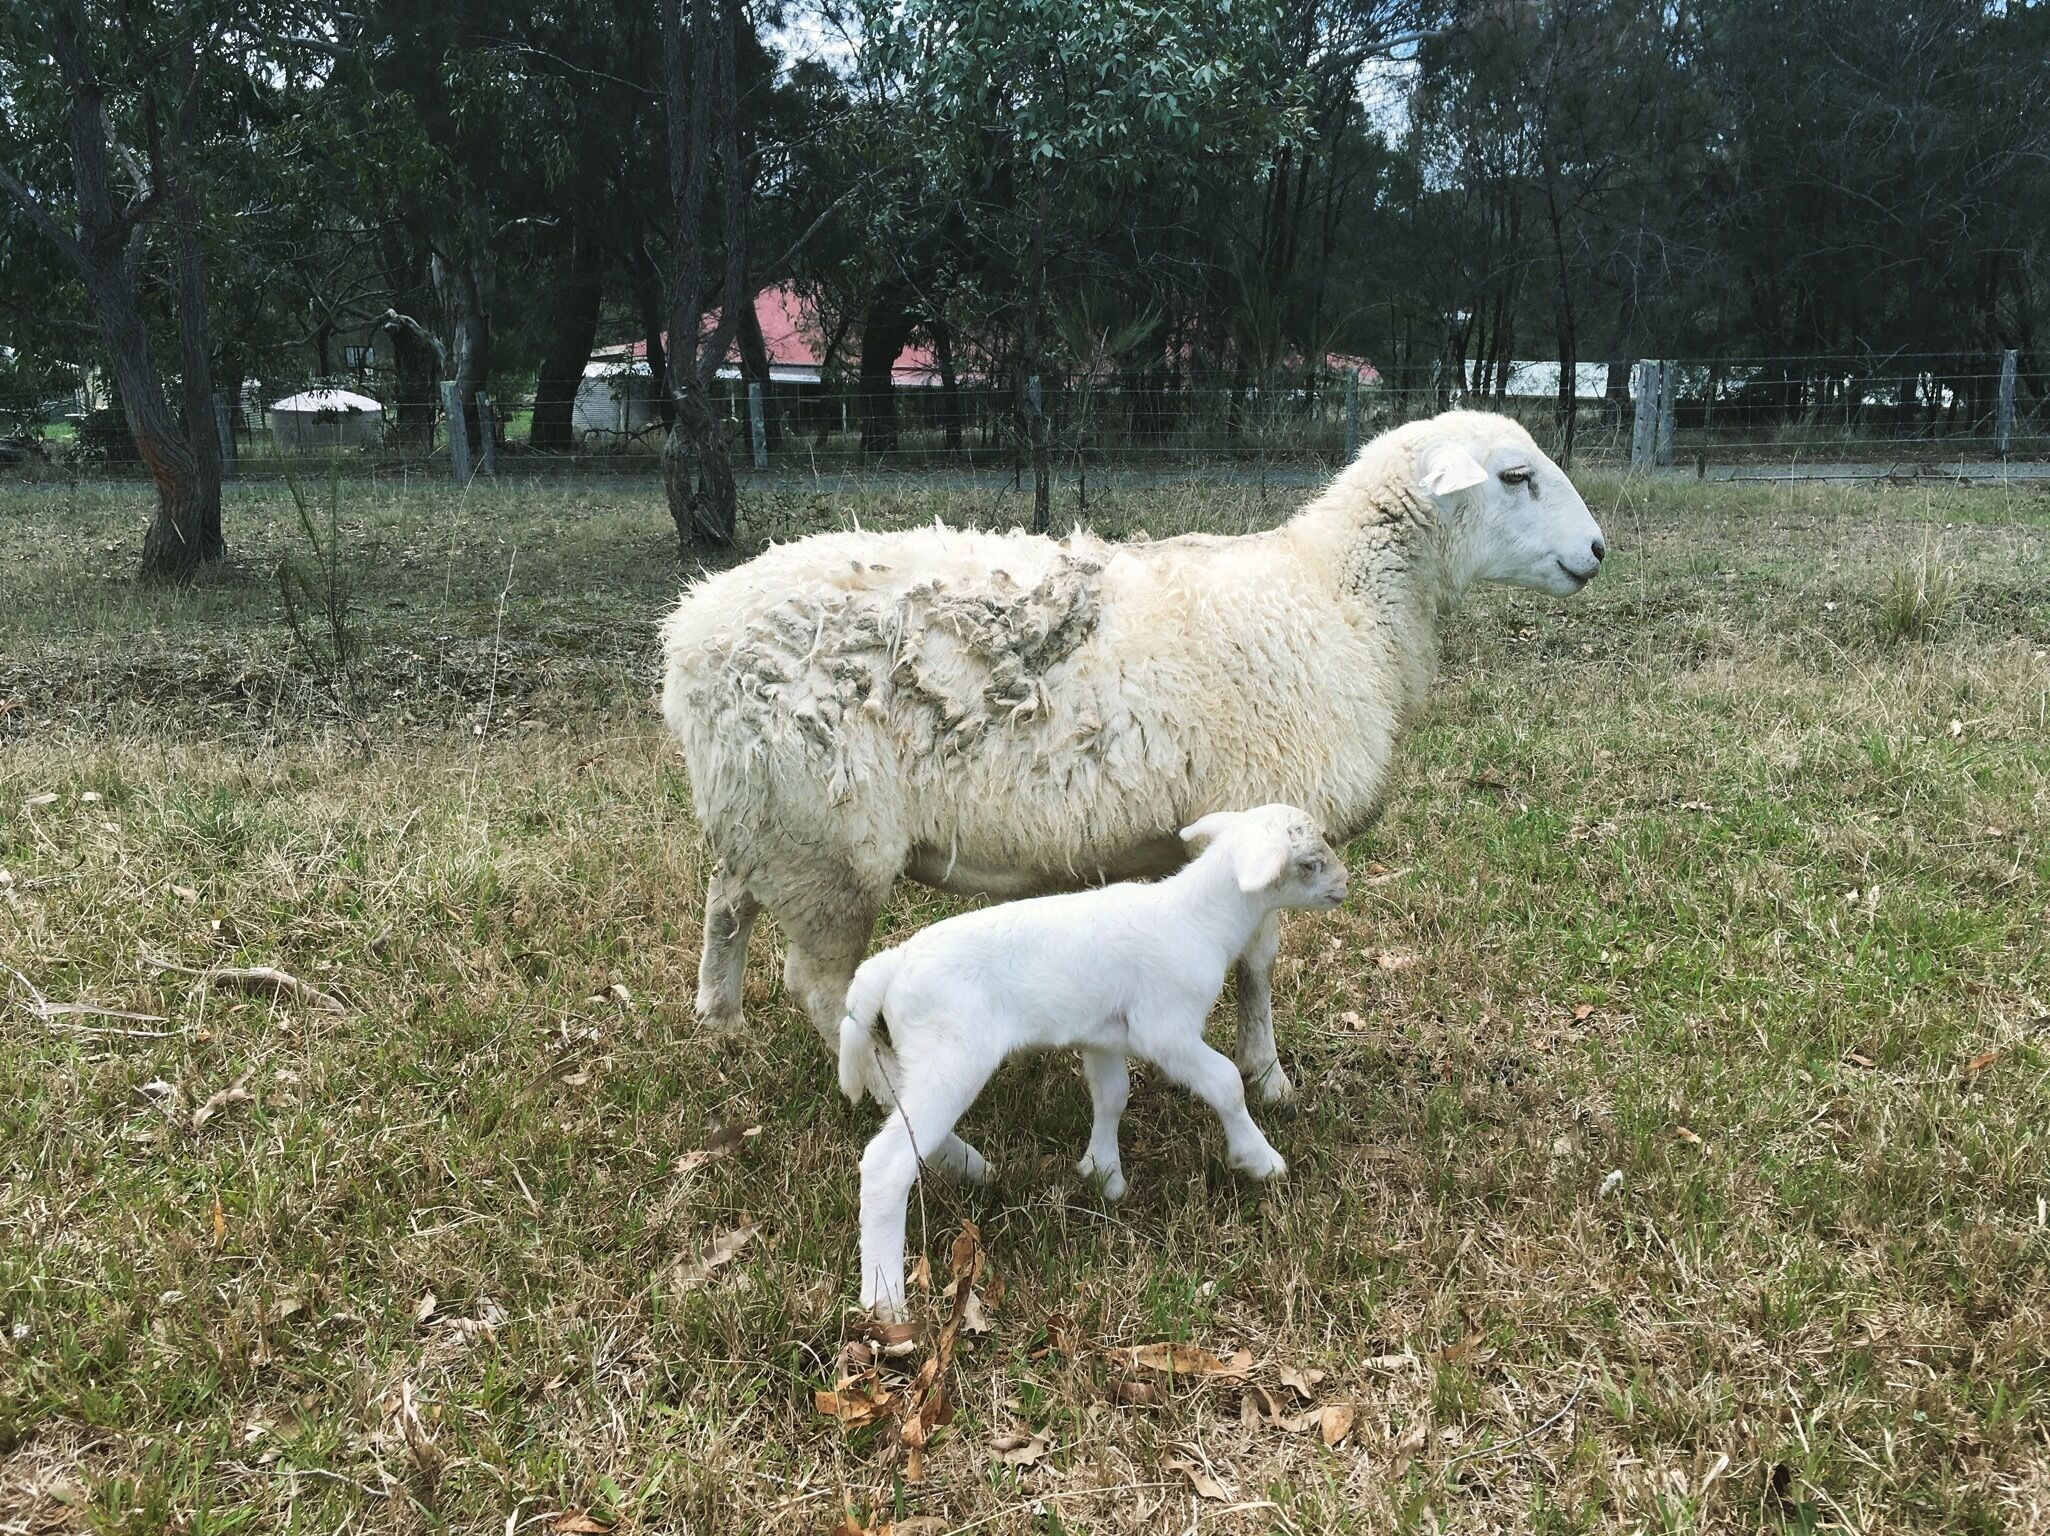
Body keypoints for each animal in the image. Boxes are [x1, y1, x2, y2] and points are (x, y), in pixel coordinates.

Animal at [659, 409, 1606, 1102]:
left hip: (762, 813)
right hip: (826, 844)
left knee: (725, 903)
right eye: (1515, 477)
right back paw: (896, 1095)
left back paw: (719, 1016)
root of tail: (689, 630)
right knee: (819, 985)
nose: (1597, 552)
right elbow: (1257, 968)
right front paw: (1268, 1077)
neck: (1343, 599)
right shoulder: (1267, 816)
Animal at [839, 803, 1350, 1317]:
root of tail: (890, 965)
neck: (1197, 920)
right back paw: (885, 1298)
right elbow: (1226, 1082)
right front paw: (1260, 1159)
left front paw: (1103, 1173)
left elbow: (1111, 1096)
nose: (1344, 886)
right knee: (887, 1163)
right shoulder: (1164, 1028)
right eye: (1309, 863)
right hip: (950, 1055)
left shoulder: (1105, 1035)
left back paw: (970, 1168)